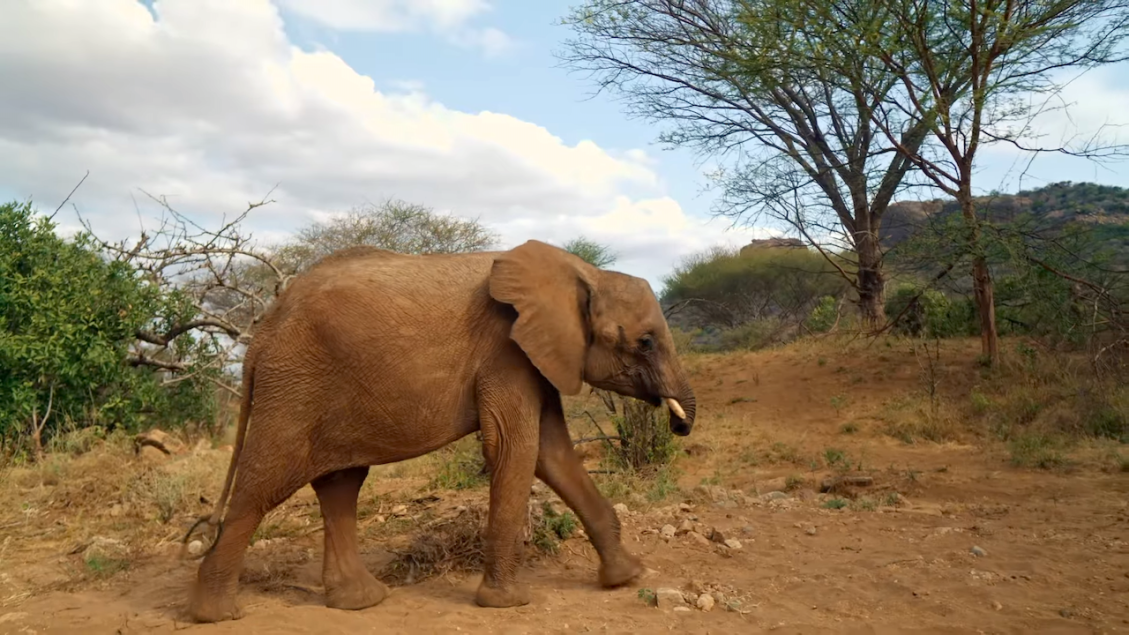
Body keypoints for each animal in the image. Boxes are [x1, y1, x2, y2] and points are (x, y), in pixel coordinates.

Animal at [184, 239, 698, 623]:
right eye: (645, 342)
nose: (679, 424)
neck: (584, 272)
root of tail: (261, 332)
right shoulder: (506, 351)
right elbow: (514, 448)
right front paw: (507, 604)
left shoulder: (538, 356)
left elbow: (552, 453)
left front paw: (628, 577)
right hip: (292, 388)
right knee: (263, 486)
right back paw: (216, 614)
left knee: (340, 485)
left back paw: (361, 602)